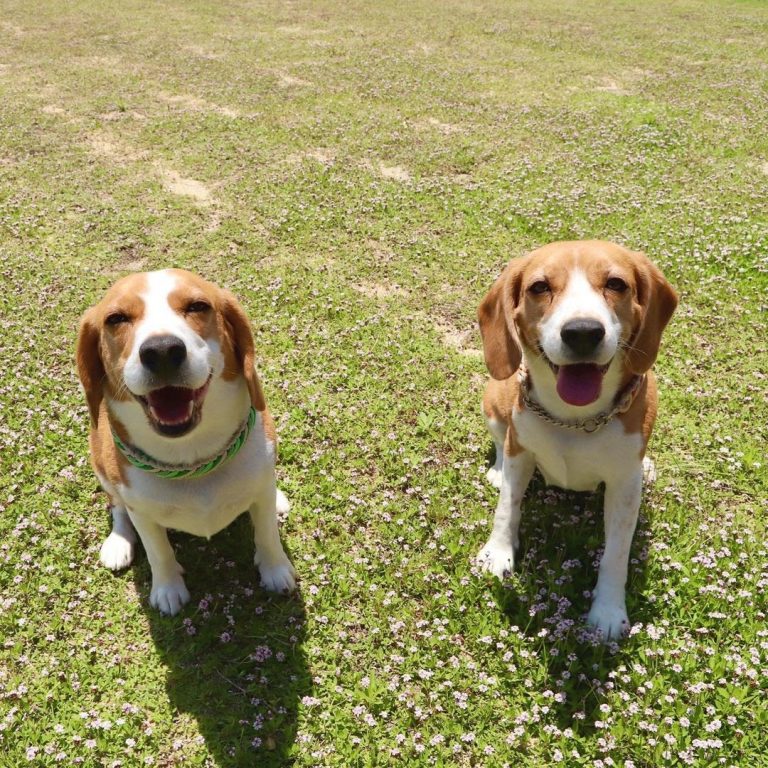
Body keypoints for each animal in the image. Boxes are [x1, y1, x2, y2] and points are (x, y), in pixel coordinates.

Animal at [77, 268, 294, 616]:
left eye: (197, 306)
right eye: (116, 318)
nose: (162, 350)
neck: (192, 459)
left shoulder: (261, 489)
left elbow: (267, 535)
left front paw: (275, 570)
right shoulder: (142, 512)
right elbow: (158, 551)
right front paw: (168, 589)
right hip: (99, 461)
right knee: (117, 506)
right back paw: (119, 541)